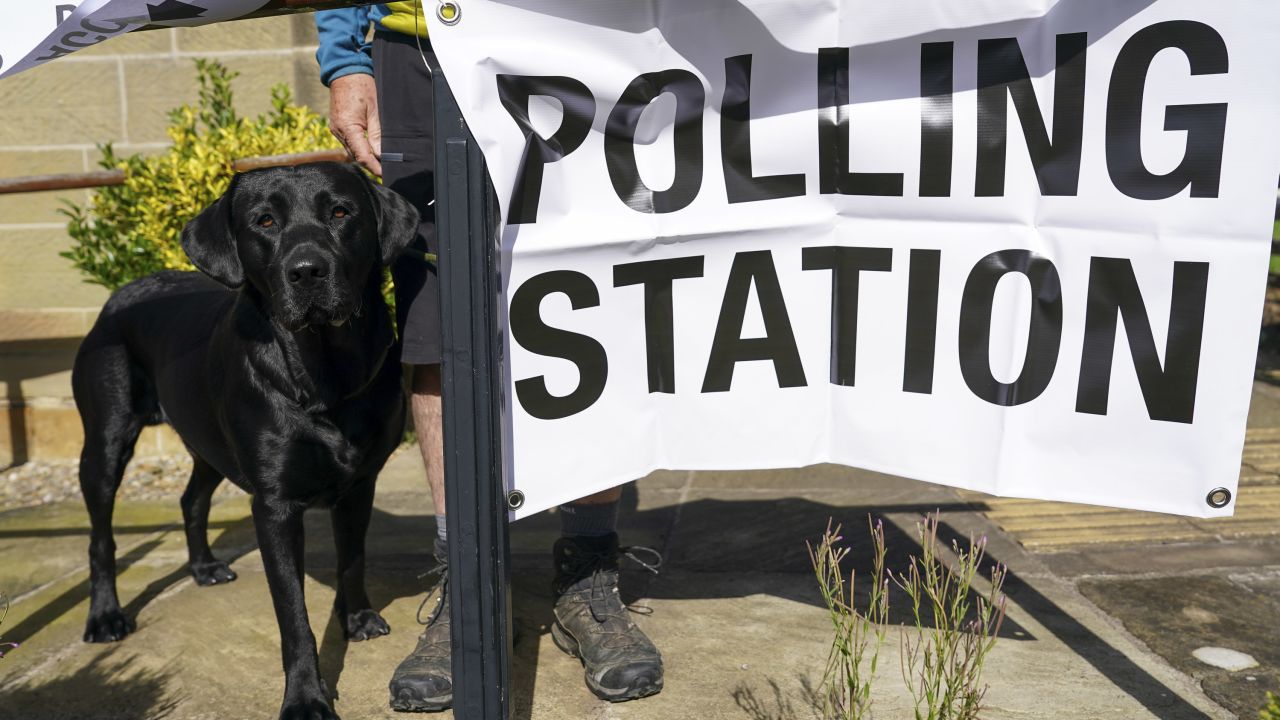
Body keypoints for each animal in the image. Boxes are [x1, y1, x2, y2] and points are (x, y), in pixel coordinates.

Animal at [71, 159, 414, 712]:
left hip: (209, 445)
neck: (324, 372)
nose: (307, 271)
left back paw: (204, 566)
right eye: (264, 221)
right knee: (101, 539)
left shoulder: (360, 484)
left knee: (191, 499)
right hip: (105, 443)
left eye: (342, 212)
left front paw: (357, 618)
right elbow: (294, 618)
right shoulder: (274, 506)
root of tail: (121, 293)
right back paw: (105, 616)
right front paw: (305, 698)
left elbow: (353, 559)